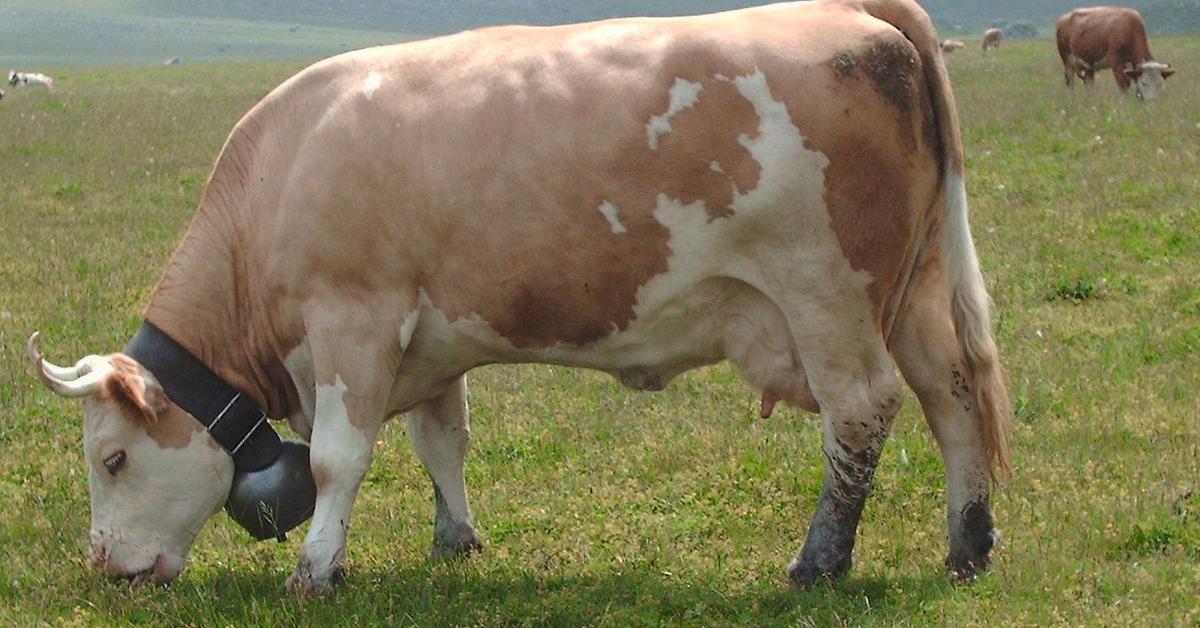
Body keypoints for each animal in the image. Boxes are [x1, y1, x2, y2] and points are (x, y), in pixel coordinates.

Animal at [28, 0, 1008, 600]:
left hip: (826, 292)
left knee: (862, 412)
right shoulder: (431, 339)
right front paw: (455, 541)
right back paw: (966, 546)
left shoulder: (353, 317)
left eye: (112, 459)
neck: (284, 168)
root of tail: (855, 12)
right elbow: (442, 441)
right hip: (915, 293)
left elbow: (339, 460)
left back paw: (818, 561)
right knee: (953, 397)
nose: (106, 566)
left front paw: (315, 570)